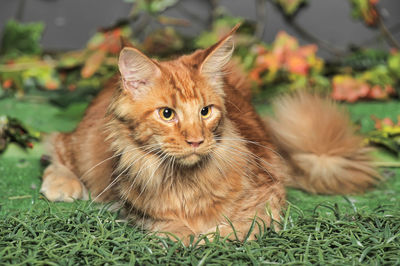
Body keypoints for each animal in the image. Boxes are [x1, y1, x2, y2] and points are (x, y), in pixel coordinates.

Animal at [40, 26, 382, 242]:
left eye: (205, 111)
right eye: (167, 114)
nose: (195, 140)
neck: (185, 183)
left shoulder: (268, 198)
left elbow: (236, 228)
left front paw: (209, 237)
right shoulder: (142, 213)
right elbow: (173, 231)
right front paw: (189, 237)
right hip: (87, 150)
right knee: (56, 143)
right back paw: (61, 184)